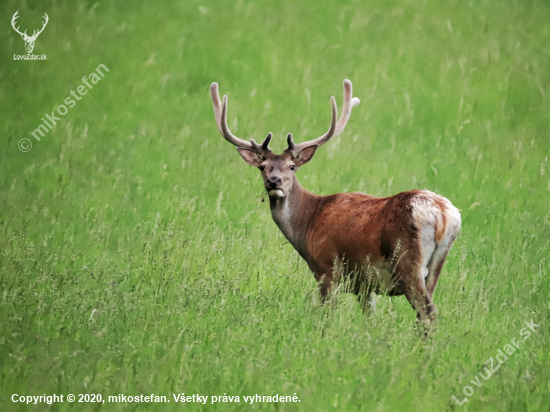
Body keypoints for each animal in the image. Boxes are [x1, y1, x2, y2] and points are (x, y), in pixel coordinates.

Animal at [210, 80, 462, 326]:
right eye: (263, 167)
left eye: (292, 167)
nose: (274, 181)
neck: (308, 223)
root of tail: (444, 214)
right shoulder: (363, 284)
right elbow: (369, 320)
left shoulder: (327, 267)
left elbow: (326, 314)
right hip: (436, 265)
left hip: (407, 261)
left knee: (428, 313)